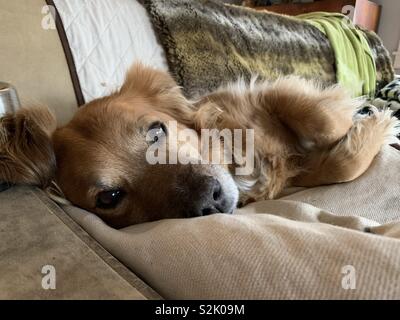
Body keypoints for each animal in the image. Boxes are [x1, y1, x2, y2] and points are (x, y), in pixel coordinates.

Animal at [0, 63, 398, 228]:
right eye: (109, 198)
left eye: (156, 131)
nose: (212, 199)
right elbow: (339, 166)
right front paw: (374, 124)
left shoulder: (263, 93)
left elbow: (323, 122)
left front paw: (374, 117)